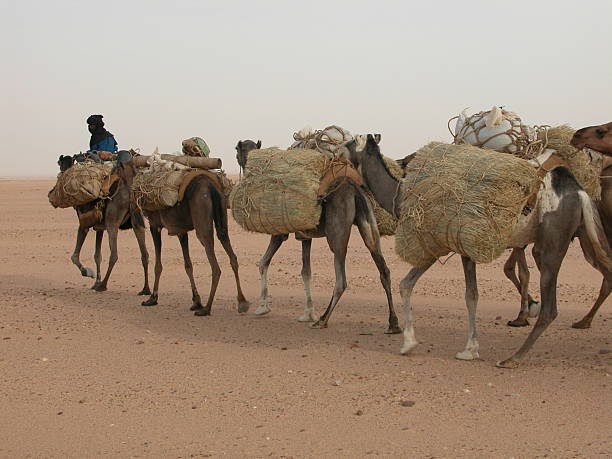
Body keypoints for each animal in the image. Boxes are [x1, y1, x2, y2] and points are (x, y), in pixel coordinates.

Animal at [57, 156, 151, 296]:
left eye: (61, 165)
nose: (61, 174)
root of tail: (129, 190)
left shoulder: (84, 224)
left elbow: (74, 256)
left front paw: (88, 273)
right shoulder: (99, 227)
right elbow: (97, 255)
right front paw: (96, 281)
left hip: (112, 222)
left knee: (114, 255)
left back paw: (103, 286)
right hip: (137, 221)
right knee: (145, 254)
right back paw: (145, 289)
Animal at [119, 159, 249, 316]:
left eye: (118, 170)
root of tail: (211, 186)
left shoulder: (155, 225)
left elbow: (158, 265)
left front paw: (152, 298)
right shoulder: (181, 231)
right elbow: (188, 265)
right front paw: (196, 301)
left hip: (201, 220)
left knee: (215, 265)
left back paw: (207, 308)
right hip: (222, 217)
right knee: (231, 253)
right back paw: (242, 302)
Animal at [234, 140, 402, 334]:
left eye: (237, 151)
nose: (240, 160)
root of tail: (355, 190)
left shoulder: (280, 233)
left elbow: (263, 263)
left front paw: (262, 307)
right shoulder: (306, 236)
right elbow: (306, 272)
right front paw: (308, 313)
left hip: (337, 234)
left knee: (341, 280)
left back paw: (323, 320)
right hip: (368, 223)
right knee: (384, 270)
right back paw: (393, 324)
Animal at [344, 135, 612, 368]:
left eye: (350, 141)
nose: (338, 147)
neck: (399, 195)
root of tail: (579, 192)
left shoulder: (435, 243)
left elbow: (414, 286)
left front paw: (414, 344)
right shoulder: (461, 248)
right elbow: (467, 294)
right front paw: (466, 348)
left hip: (550, 241)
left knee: (550, 308)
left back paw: (512, 358)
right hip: (585, 234)